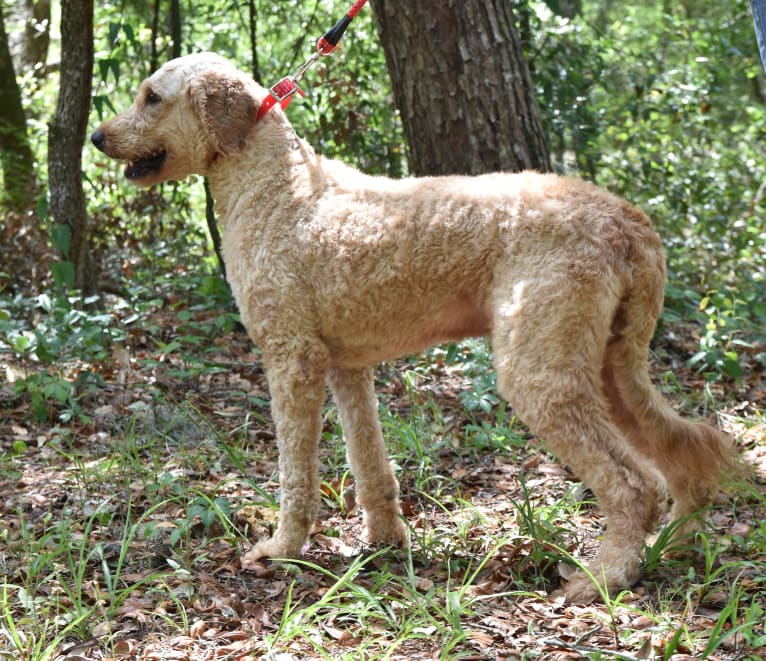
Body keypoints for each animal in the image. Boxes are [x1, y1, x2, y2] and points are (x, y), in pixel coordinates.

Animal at [91, 51, 732, 600]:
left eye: (152, 97)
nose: (97, 137)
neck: (277, 188)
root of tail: (626, 221)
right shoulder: (346, 366)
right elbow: (369, 462)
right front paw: (384, 543)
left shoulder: (291, 359)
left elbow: (297, 474)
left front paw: (282, 548)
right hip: (609, 364)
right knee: (689, 445)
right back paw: (676, 544)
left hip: (541, 371)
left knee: (634, 482)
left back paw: (605, 577)